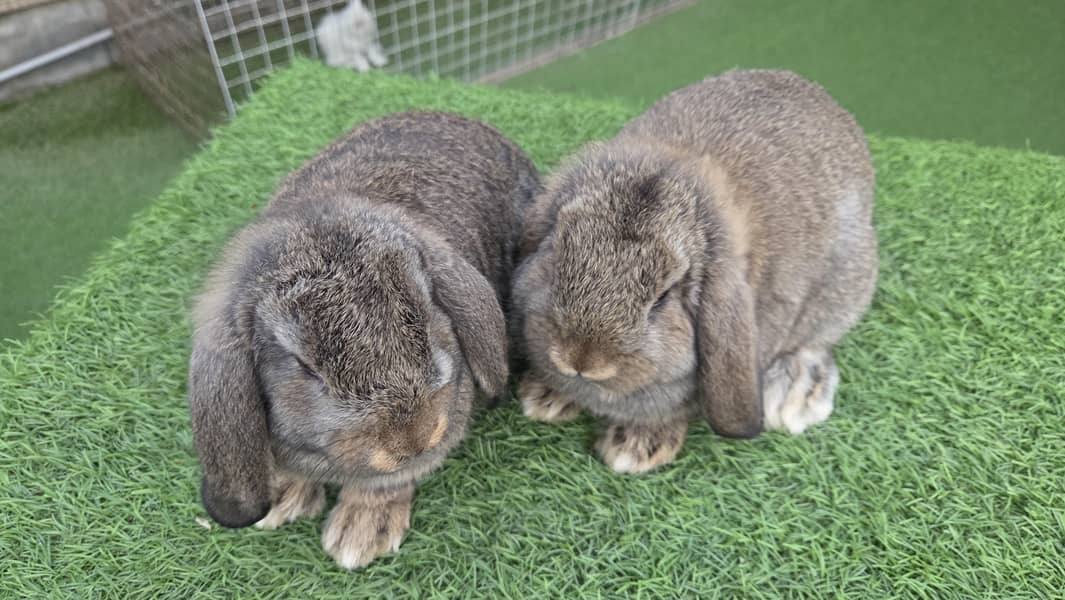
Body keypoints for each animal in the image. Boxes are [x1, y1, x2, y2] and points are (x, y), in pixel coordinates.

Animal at [188, 110, 539, 568]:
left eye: (428, 311)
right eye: (303, 365)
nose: (415, 438)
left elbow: (387, 482)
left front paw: (360, 534)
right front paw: (281, 499)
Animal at [512, 69, 878, 474]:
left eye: (663, 297)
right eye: (557, 250)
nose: (581, 360)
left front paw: (635, 450)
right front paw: (544, 398)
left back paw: (793, 398)